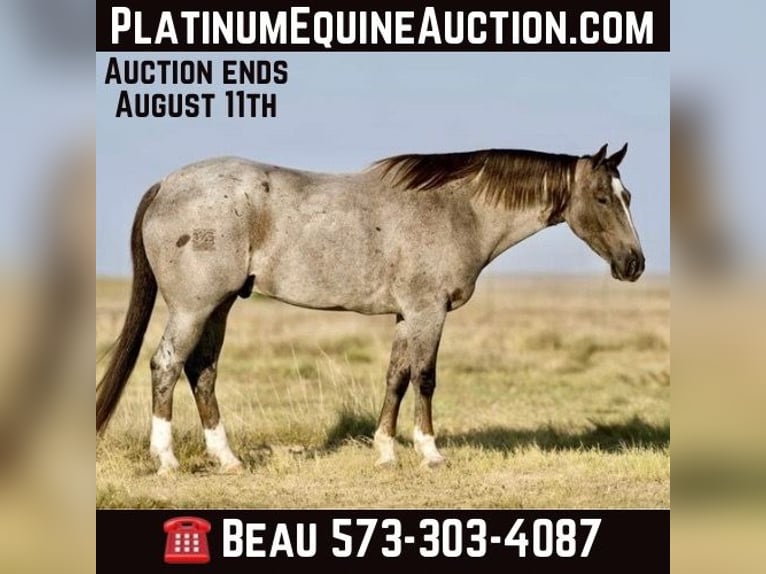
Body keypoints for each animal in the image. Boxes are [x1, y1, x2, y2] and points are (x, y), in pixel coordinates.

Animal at [96, 143, 644, 473]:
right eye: (602, 197)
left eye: (628, 196)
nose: (634, 263)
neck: (456, 209)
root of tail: (167, 184)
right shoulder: (428, 313)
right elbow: (424, 377)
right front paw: (429, 452)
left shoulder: (407, 316)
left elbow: (395, 377)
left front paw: (384, 450)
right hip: (194, 306)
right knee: (167, 365)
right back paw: (166, 459)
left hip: (221, 306)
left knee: (202, 371)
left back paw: (228, 459)